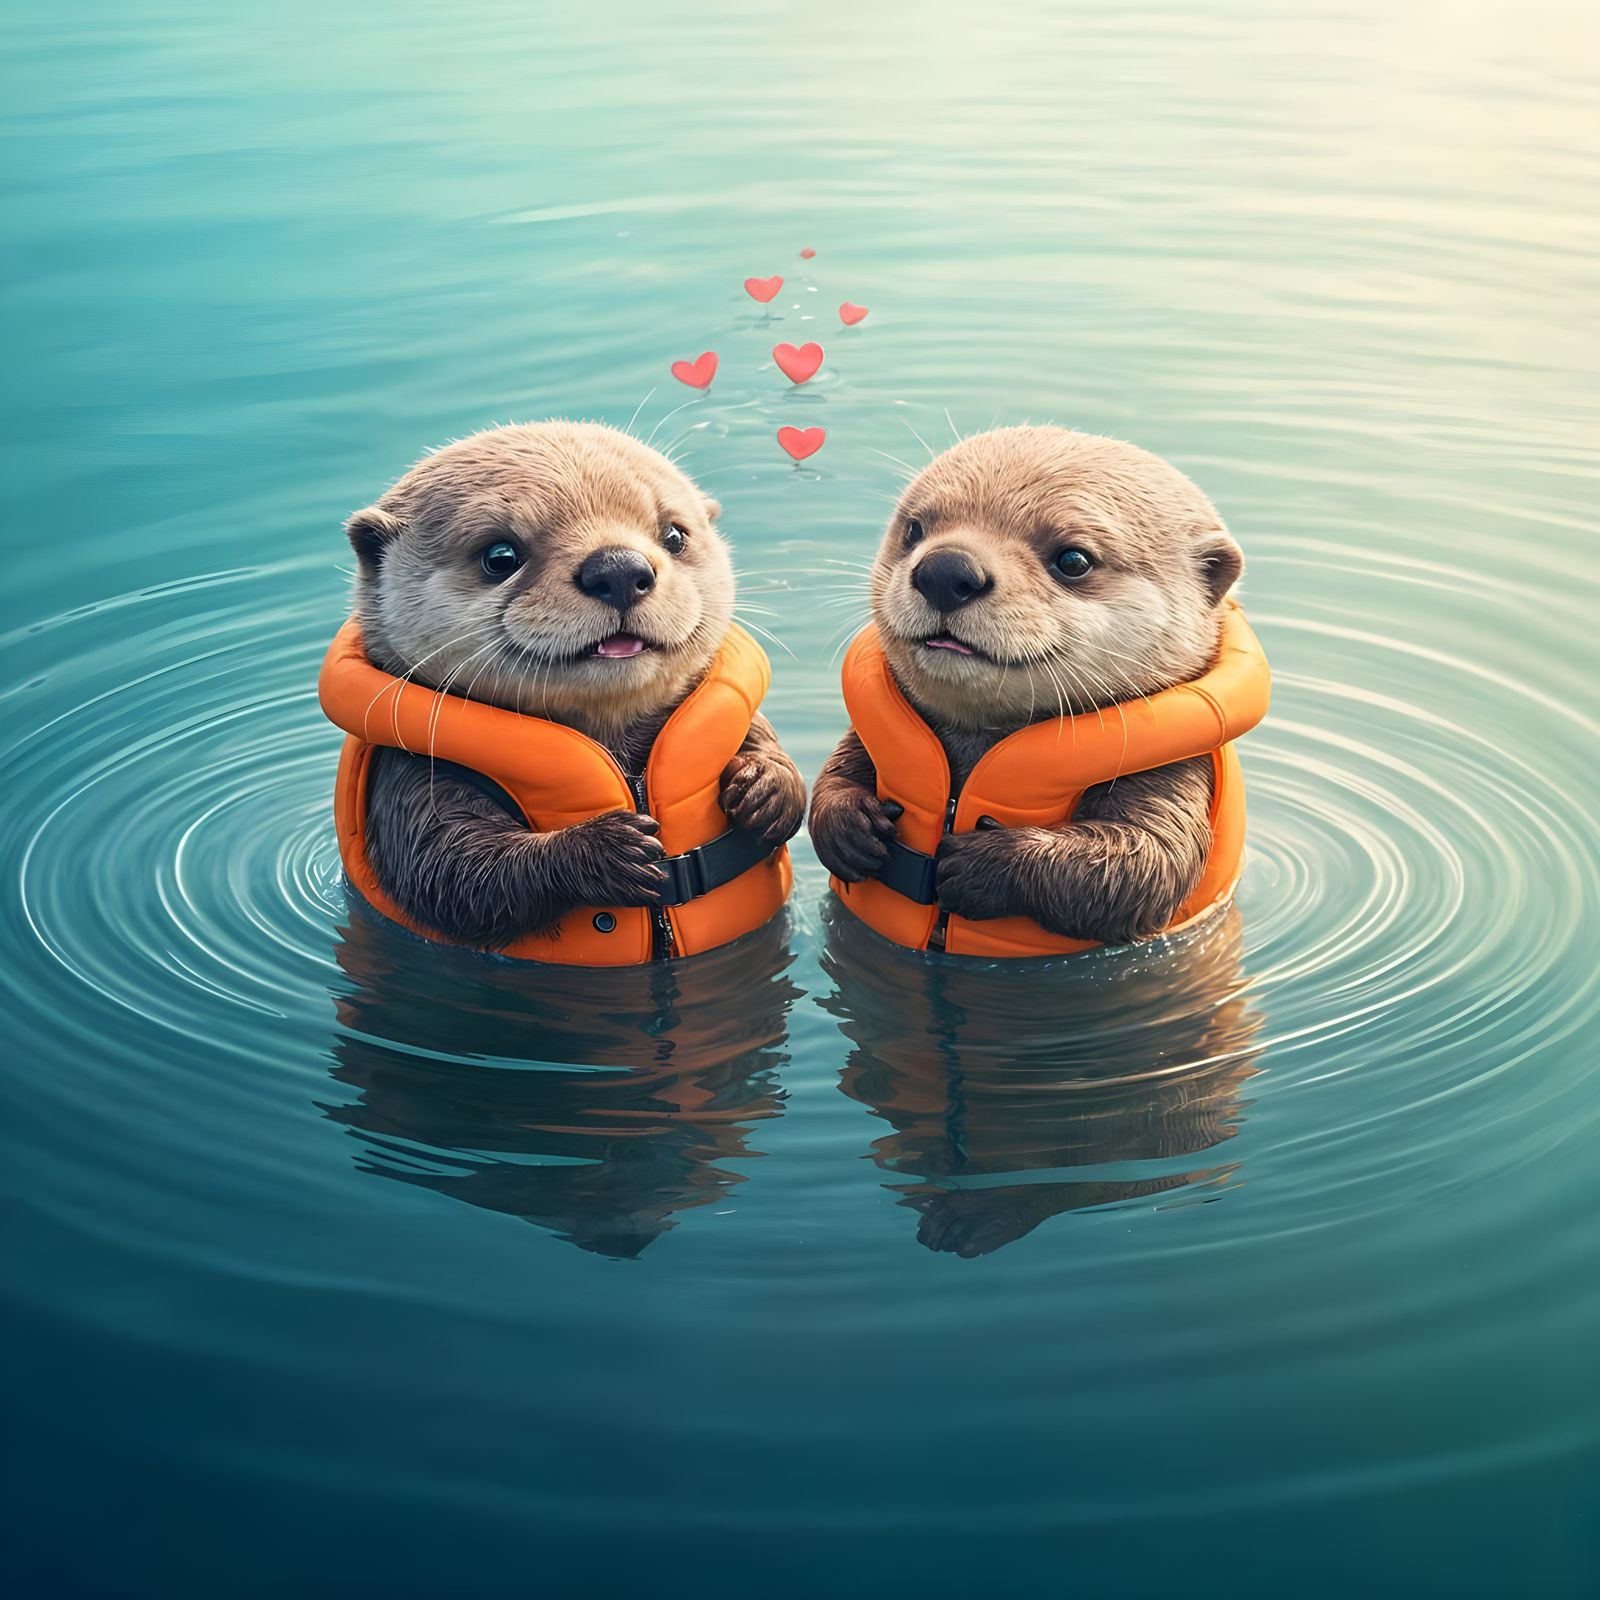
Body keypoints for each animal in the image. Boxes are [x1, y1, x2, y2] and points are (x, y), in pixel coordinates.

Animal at [342, 421, 806, 950]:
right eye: (500, 556)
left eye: (673, 535)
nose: (620, 568)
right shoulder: (412, 776)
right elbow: (452, 871)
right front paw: (611, 849)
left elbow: (767, 744)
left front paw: (766, 787)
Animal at [808, 425, 1247, 946]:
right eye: (913, 529)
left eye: (1073, 559)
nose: (946, 569)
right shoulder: (863, 738)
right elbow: (835, 771)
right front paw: (848, 825)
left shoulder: (1175, 771)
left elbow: (1148, 860)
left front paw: (979, 865)